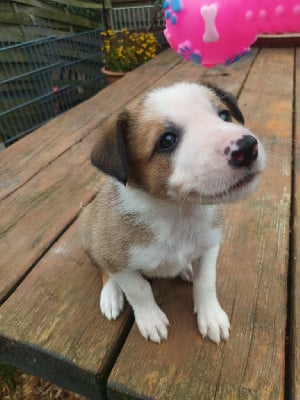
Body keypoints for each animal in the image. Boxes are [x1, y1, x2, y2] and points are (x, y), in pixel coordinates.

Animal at [79, 82, 264, 344]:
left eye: (224, 115)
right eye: (167, 140)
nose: (247, 148)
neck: (177, 213)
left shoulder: (209, 245)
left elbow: (206, 282)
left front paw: (211, 316)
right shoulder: (116, 259)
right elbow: (139, 290)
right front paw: (151, 320)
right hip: (90, 234)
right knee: (103, 271)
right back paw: (111, 295)